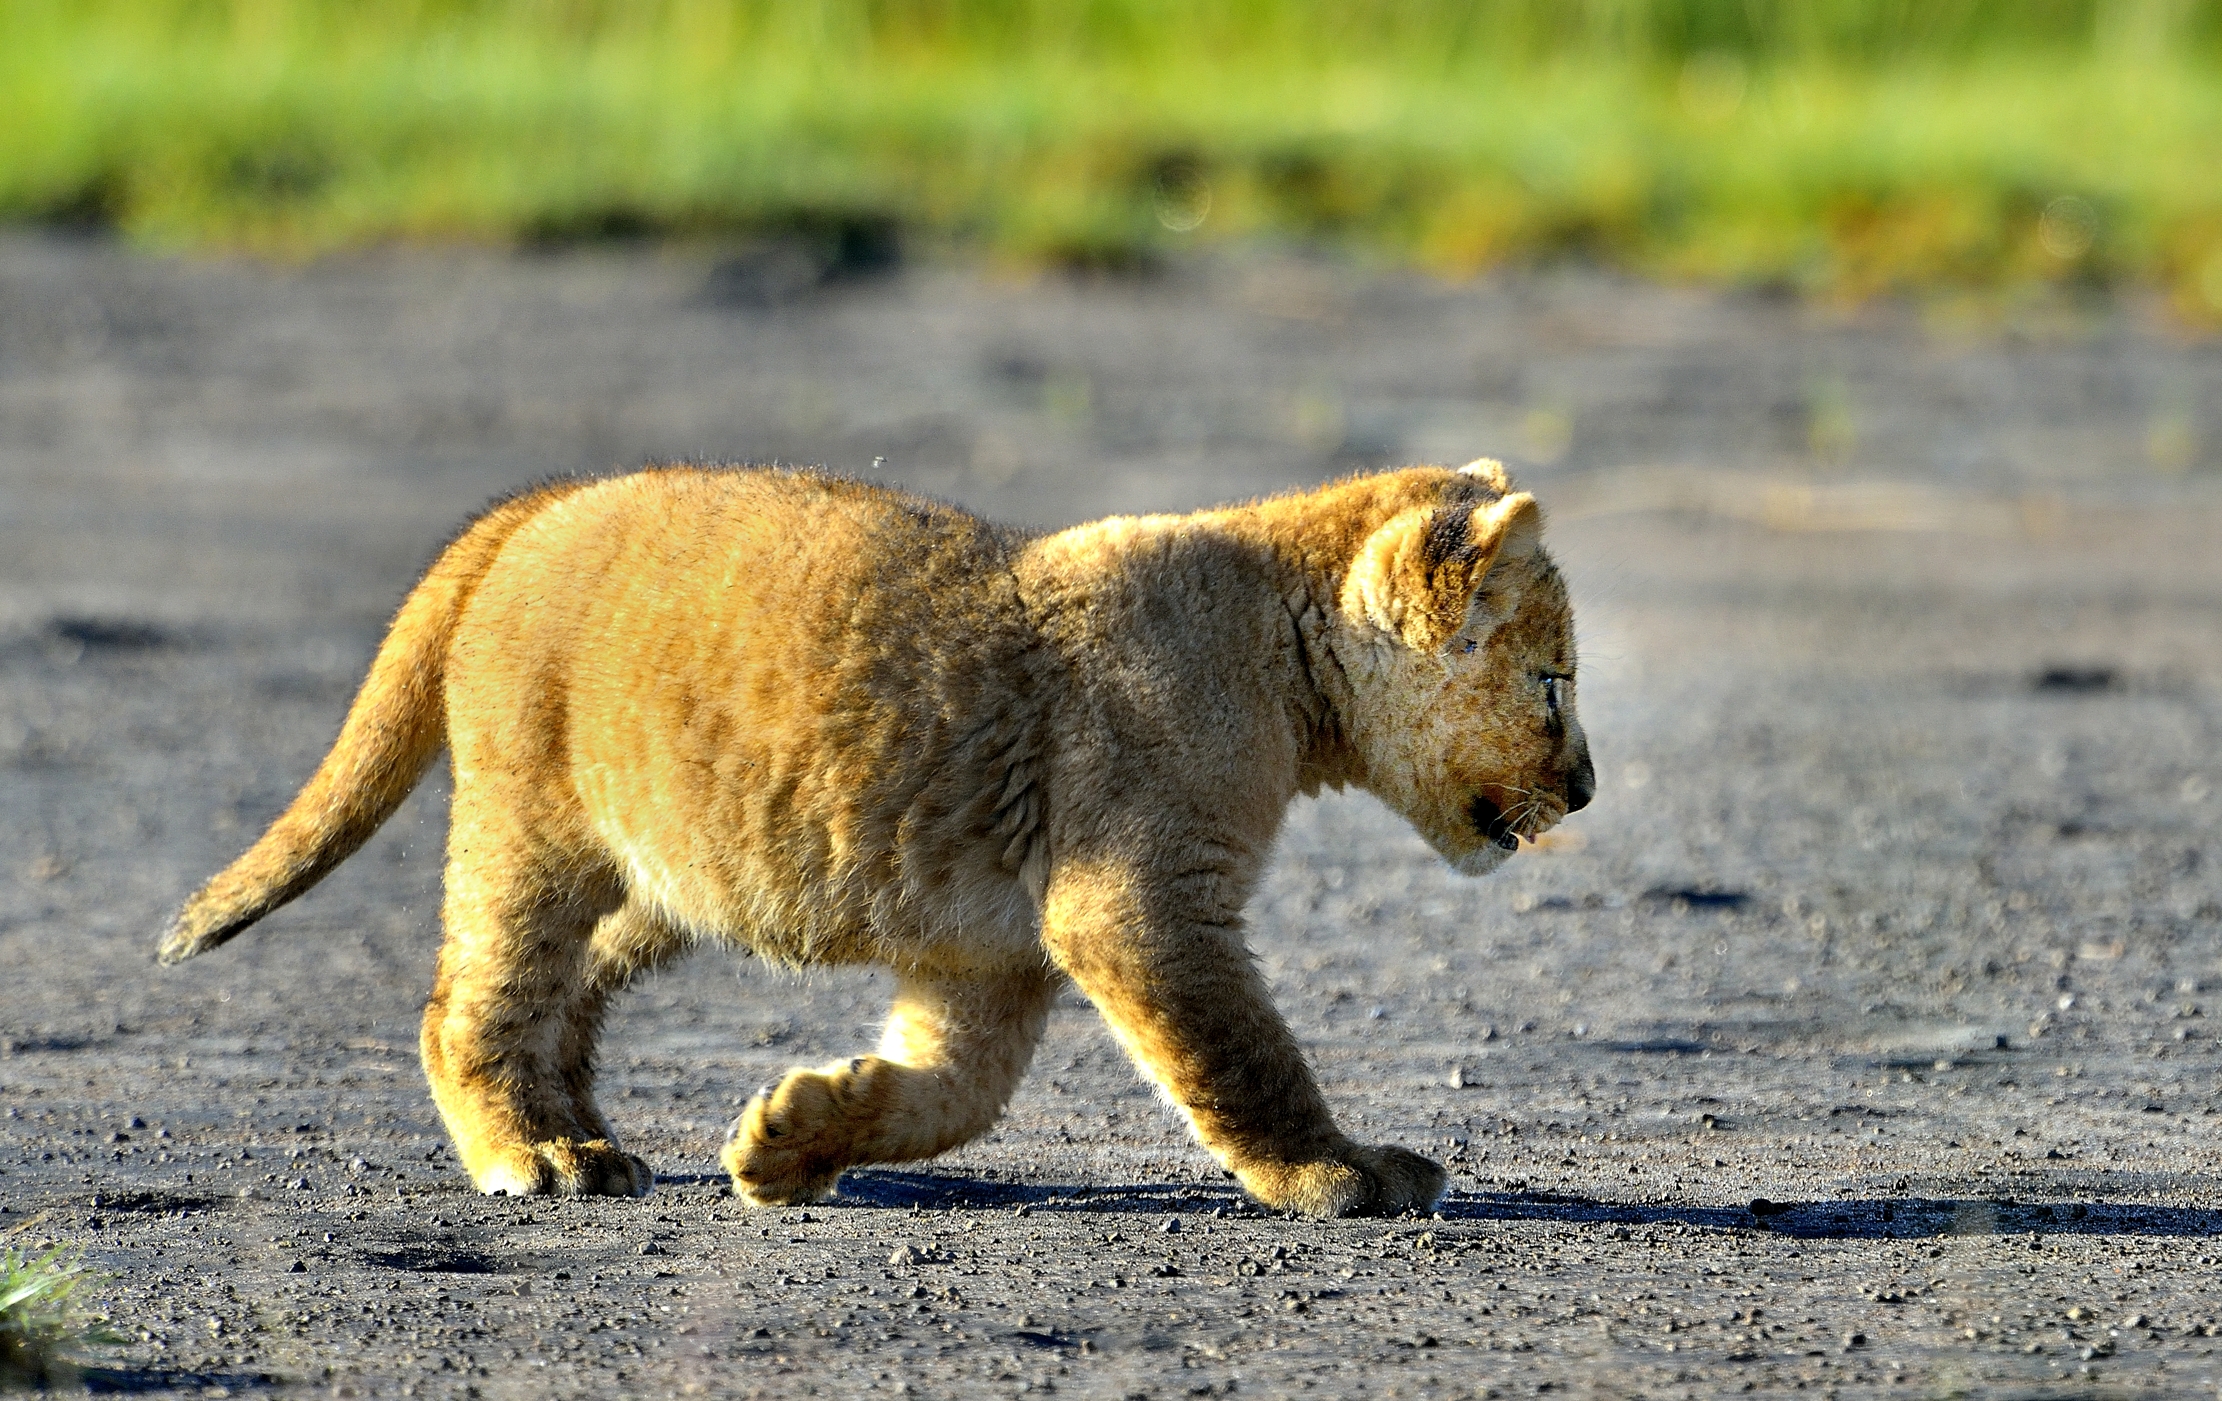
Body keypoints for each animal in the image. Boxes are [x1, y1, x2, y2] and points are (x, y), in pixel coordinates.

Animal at [159, 459, 1593, 1218]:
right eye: (1554, 685)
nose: (1584, 792)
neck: (1286, 657)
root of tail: (533, 509)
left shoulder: (993, 956)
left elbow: (951, 1096)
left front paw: (792, 1140)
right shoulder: (1134, 903)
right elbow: (1244, 1059)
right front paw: (1338, 1175)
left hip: (659, 878)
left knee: (569, 995)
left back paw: (589, 1131)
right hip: (534, 827)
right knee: (470, 1000)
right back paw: (537, 1156)